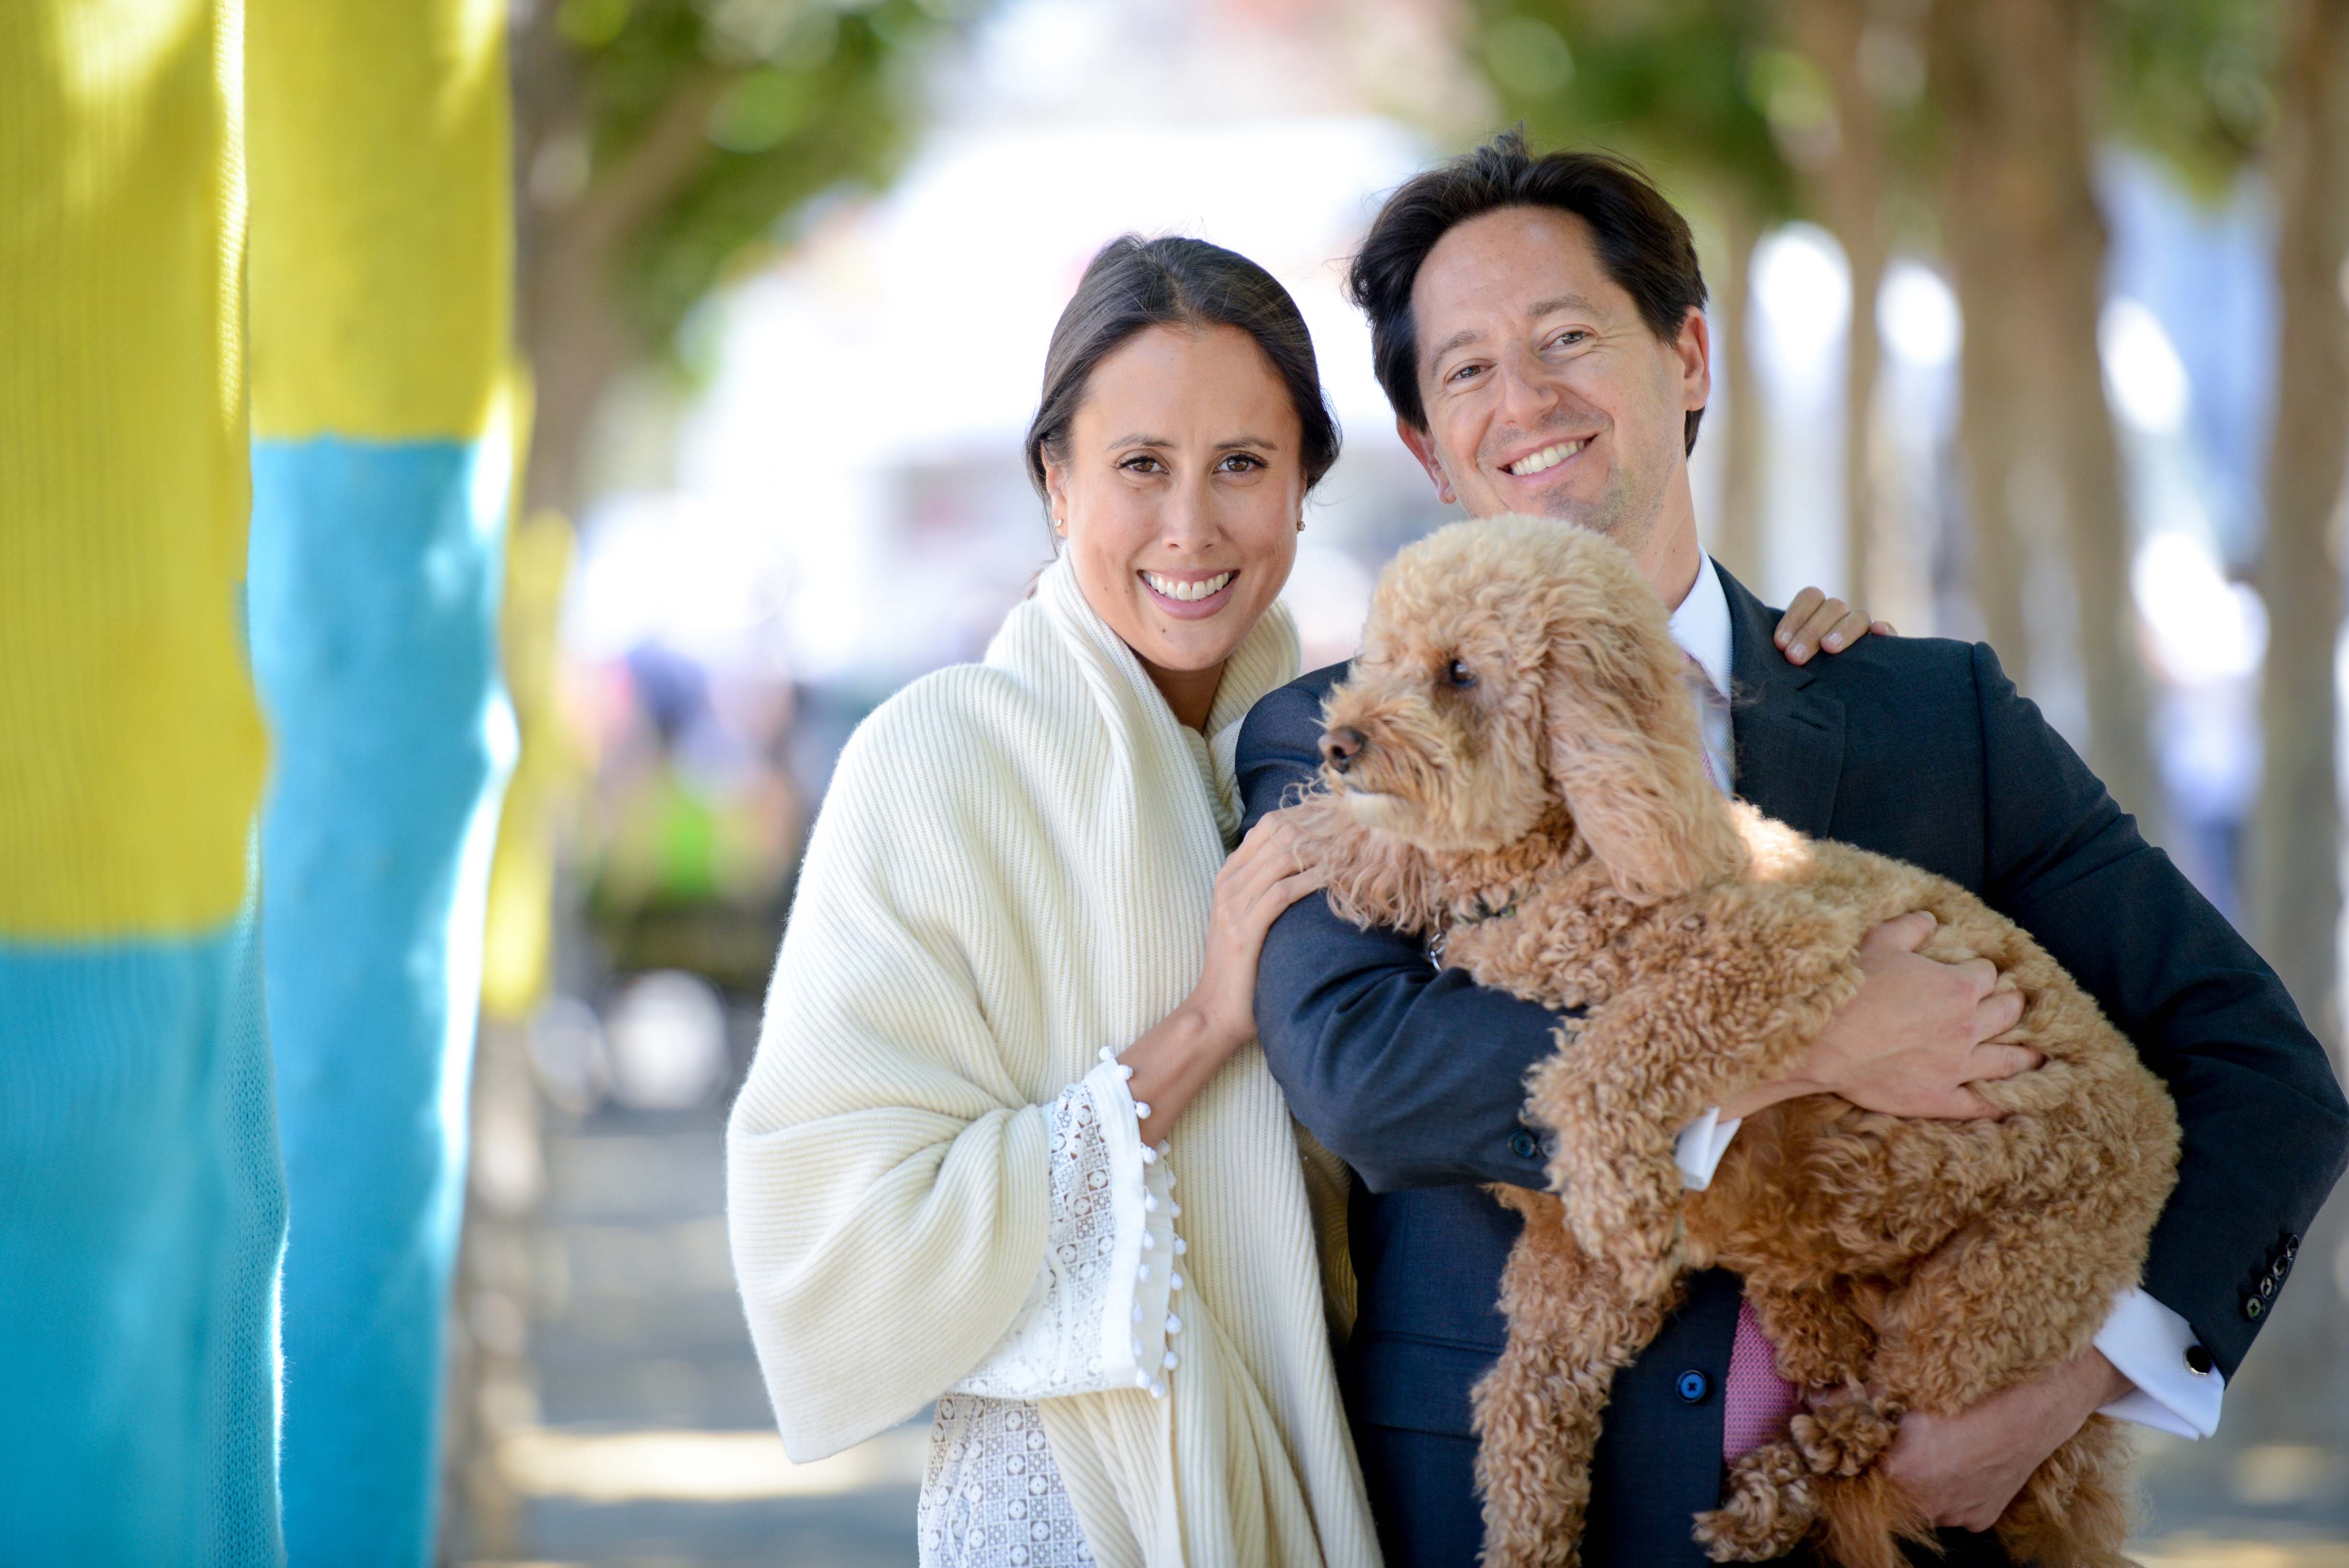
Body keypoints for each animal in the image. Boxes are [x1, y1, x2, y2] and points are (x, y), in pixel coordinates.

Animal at [1296, 517, 2170, 1568]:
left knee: (1903, 1412)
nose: (1339, 744)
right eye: (1377, 659)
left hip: (2005, 1285)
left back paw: (1792, 1474)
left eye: (1459, 671)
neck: (1566, 865)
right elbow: (1522, 1403)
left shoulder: (1781, 953)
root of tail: (2162, 1123)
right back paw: (1793, 1402)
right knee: (1840, 1353)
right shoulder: (1567, 1277)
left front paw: (1623, 1196)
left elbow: (1609, 1053)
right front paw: (1526, 1537)